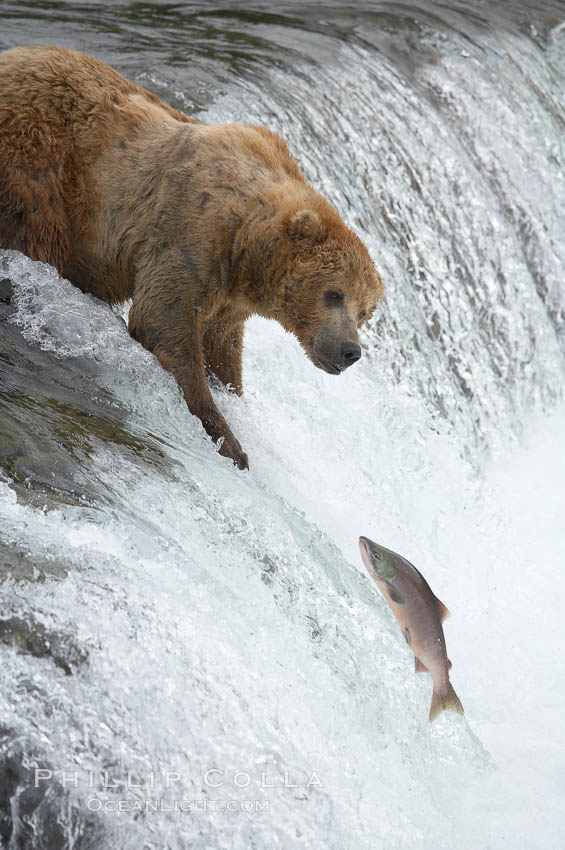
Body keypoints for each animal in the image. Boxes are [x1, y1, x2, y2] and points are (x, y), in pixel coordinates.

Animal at [0, 44, 384, 470]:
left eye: (364, 312)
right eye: (334, 293)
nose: (350, 351)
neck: (248, 245)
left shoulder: (229, 296)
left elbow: (221, 347)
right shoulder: (192, 234)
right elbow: (164, 322)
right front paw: (230, 441)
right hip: (39, 163)